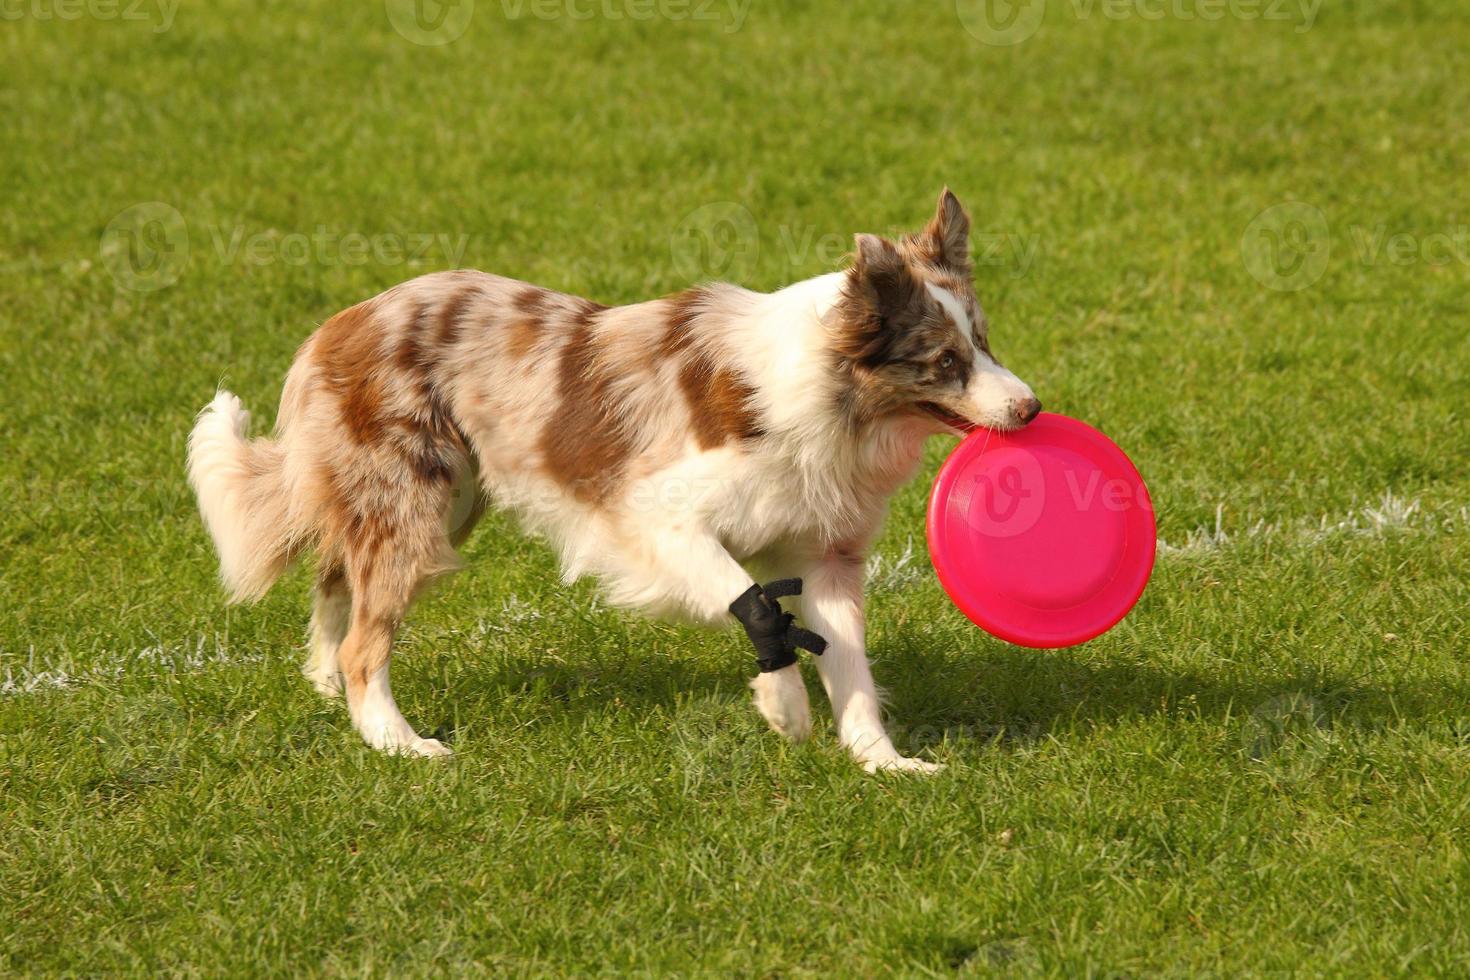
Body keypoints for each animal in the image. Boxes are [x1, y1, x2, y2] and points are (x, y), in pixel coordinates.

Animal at [189, 189, 1040, 775]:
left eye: (985, 341)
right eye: (943, 362)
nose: (1031, 409)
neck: (834, 400)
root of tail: (338, 324)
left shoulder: (829, 554)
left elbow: (851, 662)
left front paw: (882, 762)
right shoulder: (658, 517)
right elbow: (756, 602)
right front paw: (786, 708)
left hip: (443, 499)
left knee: (336, 584)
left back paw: (326, 685)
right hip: (415, 507)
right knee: (369, 638)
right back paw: (398, 742)